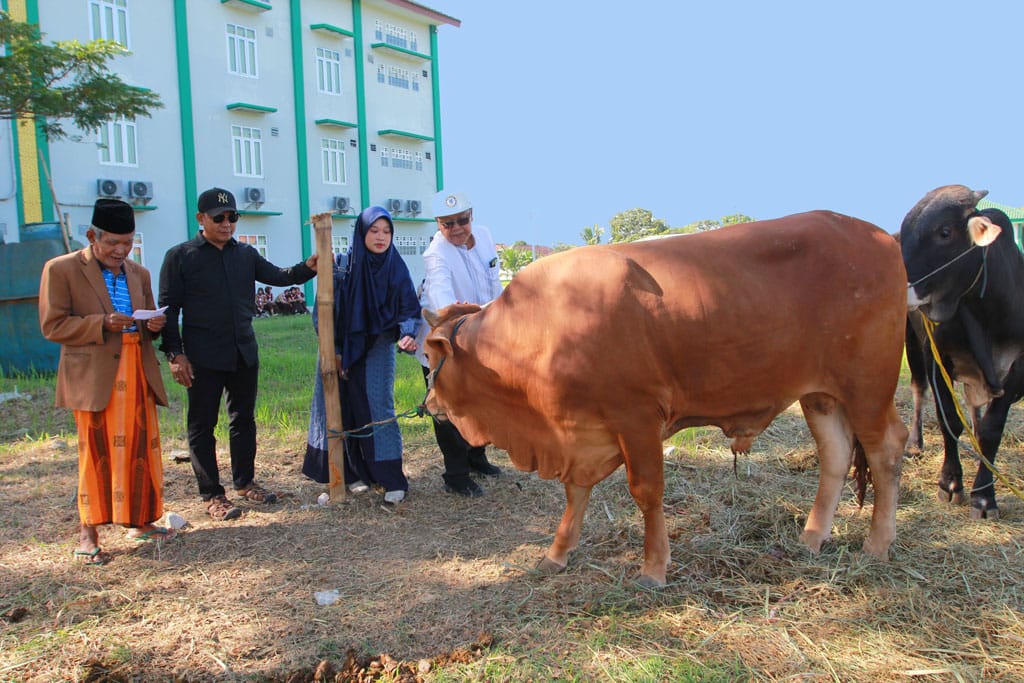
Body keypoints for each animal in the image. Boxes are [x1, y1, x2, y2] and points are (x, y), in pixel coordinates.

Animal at [419, 211, 909, 589]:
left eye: (429, 355)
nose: (429, 405)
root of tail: (880, 235)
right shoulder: (579, 431)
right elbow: (575, 491)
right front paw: (557, 552)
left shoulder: (635, 418)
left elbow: (647, 490)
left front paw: (653, 567)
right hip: (820, 395)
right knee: (836, 455)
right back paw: (812, 537)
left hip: (868, 388)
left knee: (885, 449)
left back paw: (877, 545)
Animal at [901, 185, 1024, 518]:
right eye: (904, 233)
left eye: (945, 232)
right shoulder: (936, 358)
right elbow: (949, 421)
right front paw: (950, 483)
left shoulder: (1016, 367)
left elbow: (991, 429)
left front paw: (984, 496)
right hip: (911, 342)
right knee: (918, 390)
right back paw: (914, 444)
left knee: (973, 409)